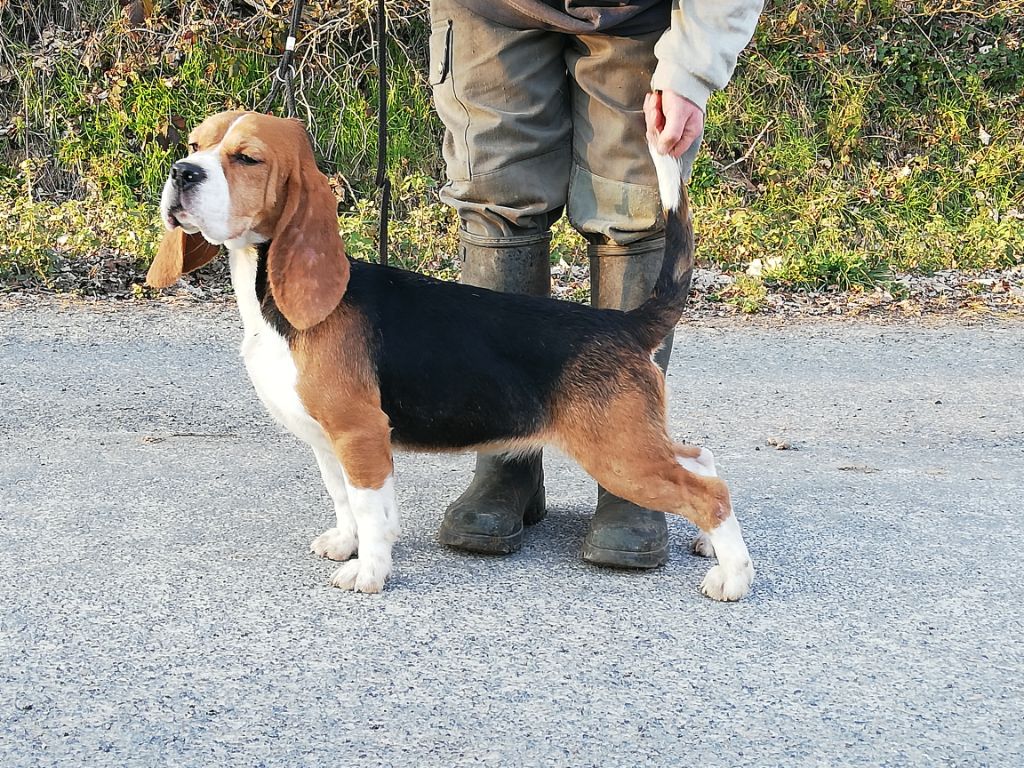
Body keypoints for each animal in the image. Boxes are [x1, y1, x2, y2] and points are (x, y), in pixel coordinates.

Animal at [148, 111, 757, 602]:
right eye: (195, 144)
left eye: (246, 158)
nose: (182, 172)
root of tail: (623, 323)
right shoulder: (328, 441)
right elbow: (344, 500)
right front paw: (347, 543)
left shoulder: (359, 434)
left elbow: (368, 507)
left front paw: (369, 572)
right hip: (636, 442)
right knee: (701, 458)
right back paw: (710, 548)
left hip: (619, 455)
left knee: (711, 493)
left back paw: (733, 576)